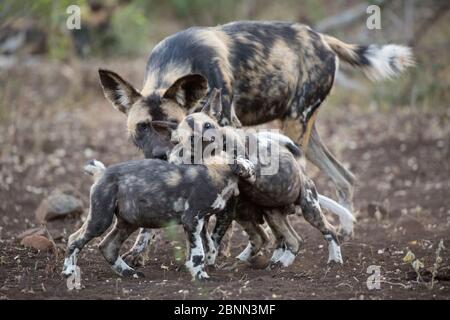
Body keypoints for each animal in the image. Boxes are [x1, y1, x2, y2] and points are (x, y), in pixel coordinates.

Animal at [96, 20, 414, 262]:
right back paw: (343, 230)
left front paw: (216, 251)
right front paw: (140, 250)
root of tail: (322, 37)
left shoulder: (227, 126)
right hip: (303, 133)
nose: (161, 155)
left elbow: (219, 216)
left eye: (170, 129)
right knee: (345, 177)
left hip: (296, 125)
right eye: (142, 127)